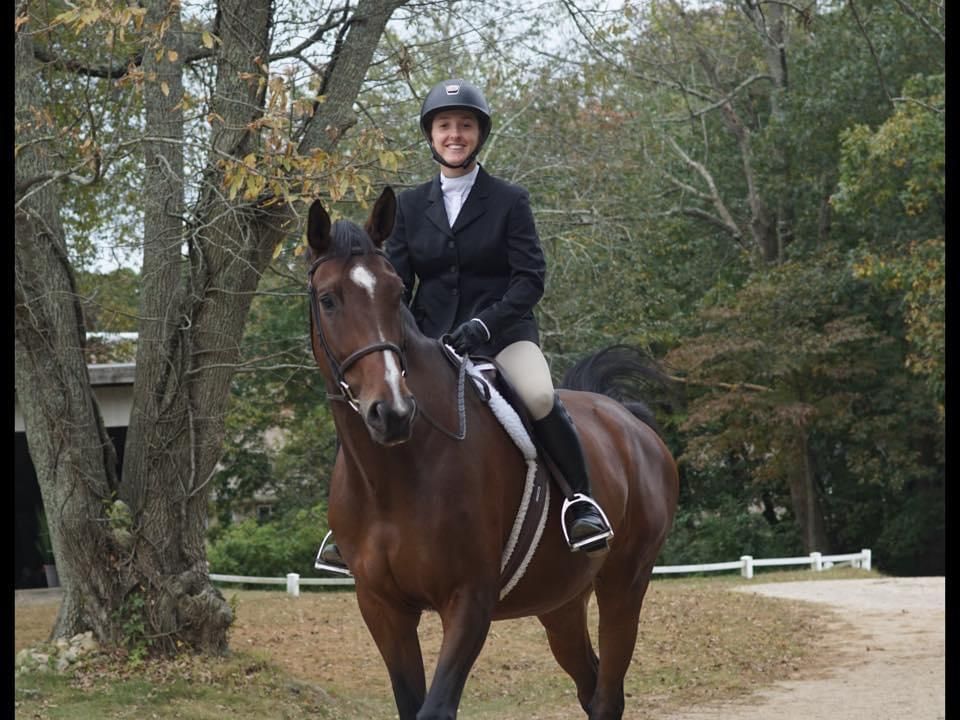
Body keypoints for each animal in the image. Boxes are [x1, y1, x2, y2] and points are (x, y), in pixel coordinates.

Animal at [306, 187, 676, 720]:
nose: (392, 413)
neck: (395, 473)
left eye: (396, 295)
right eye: (328, 299)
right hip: (561, 601)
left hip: (624, 583)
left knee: (607, 694)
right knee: (589, 683)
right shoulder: (381, 606)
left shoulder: (469, 600)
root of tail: (628, 420)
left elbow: (435, 708)